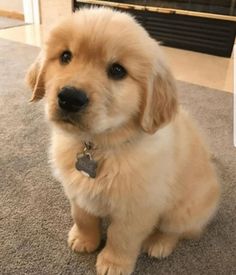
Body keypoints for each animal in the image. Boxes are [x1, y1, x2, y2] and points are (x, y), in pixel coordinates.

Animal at [26, 7, 220, 274]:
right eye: (65, 56)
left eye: (117, 71)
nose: (70, 98)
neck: (97, 146)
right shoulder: (77, 191)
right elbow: (82, 216)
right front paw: (84, 239)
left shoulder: (137, 207)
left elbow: (121, 237)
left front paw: (113, 263)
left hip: (185, 209)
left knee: (179, 231)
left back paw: (159, 243)